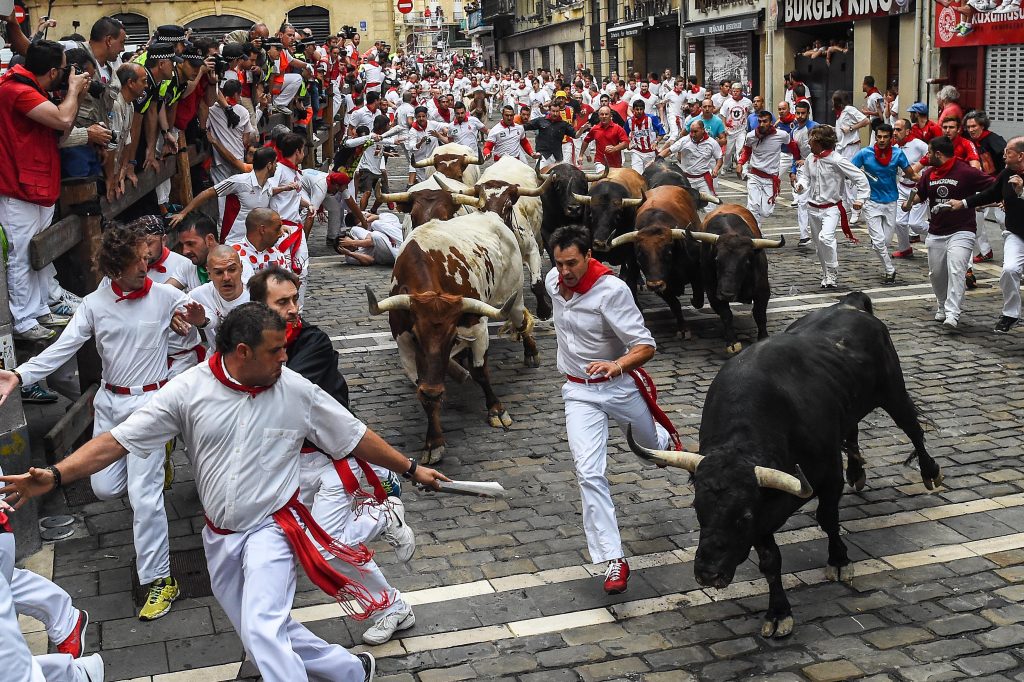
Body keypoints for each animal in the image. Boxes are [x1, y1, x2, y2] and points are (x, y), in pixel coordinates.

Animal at [364, 212, 536, 464]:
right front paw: (434, 442)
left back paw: (531, 353)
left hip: (514, 295)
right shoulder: (403, 344)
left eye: (453, 337)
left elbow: (480, 372)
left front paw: (496, 409)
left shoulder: (477, 327)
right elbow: (425, 393)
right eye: (416, 337)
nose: (435, 389)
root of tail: (490, 215)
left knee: (521, 321)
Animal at [626, 292, 946, 638]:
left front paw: (839, 561)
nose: (708, 574)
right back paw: (857, 472)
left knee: (912, 428)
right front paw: (778, 612)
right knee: (853, 430)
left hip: (892, 390)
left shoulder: (825, 476)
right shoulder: (764, 510)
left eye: (742, 517)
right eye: (698, 509)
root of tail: (851, 303)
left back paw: (930, 473)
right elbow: (770, 560)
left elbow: (827, 518)